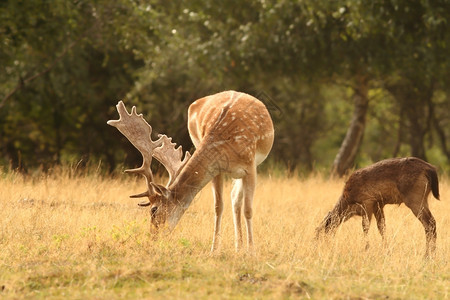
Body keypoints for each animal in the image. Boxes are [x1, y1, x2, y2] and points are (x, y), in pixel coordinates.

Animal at [108, 91, 274, 251]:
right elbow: (218, 207)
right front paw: (214, 250)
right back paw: (238, 247)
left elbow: (248, 210)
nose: (152, 237)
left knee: (237, 200)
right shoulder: (216, 170)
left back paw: (242, 248)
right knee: (234, 198)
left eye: (154, 210)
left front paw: (251, 252)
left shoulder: (250, 166)